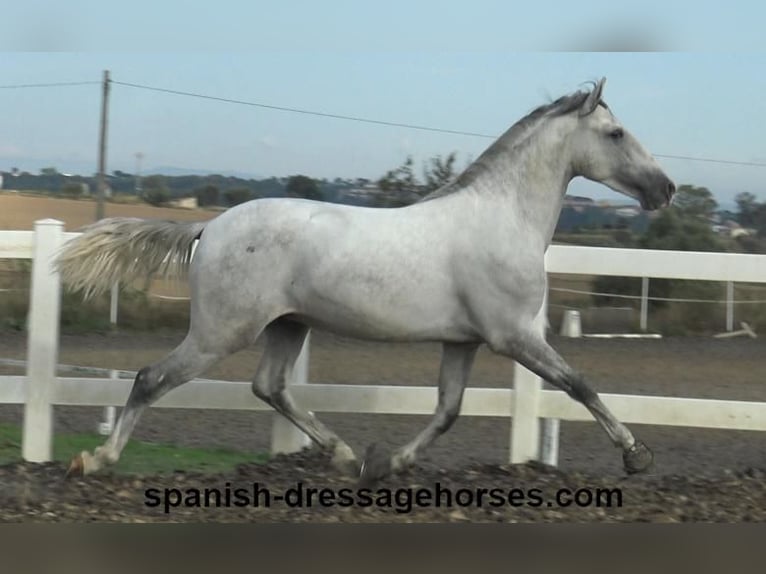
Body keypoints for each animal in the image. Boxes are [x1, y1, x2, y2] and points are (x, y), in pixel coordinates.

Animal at [58, 77, 672, 482]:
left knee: (270, 386)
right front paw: (636, 454)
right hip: (220, 332)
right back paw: (95, 459)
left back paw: (347, 456)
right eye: (616, 134)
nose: (664, 190)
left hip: (288, 325)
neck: (503, 216)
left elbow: (448, 410)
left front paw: (390, 462)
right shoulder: (516, 336)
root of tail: (209, 228)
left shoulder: (465, 341)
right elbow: (580, 384)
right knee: (151, 378)